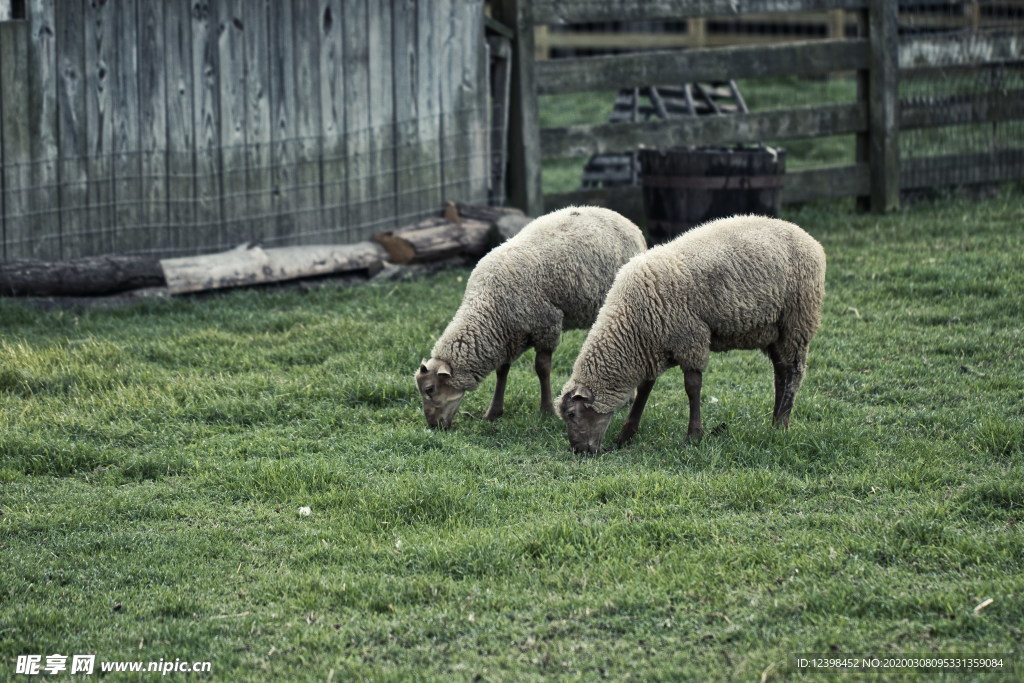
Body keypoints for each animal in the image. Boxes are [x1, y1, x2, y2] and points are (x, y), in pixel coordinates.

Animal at [557, 216, 827, 456]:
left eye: (572, 414)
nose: (579, 451)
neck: (630, 328)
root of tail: (811, 241)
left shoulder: (690, 339)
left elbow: (692, 387)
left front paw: (694, 435)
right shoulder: (655, 345)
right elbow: (645, 388)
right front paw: (626, 434)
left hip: (797, 321)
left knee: (793, 373)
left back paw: (781, 425)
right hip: (774, 331)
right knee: (780, 374)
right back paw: (775, 421)